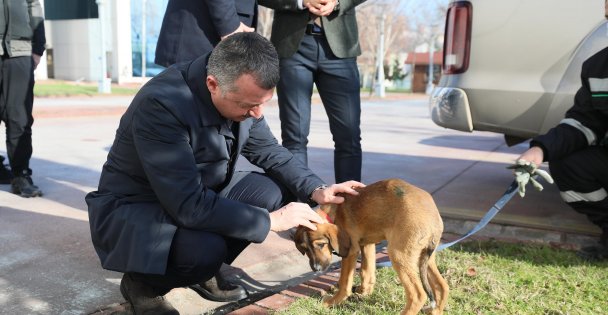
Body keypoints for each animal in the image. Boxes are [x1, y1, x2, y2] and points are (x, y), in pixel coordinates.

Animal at [294, 179, 446, 314]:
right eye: (305, 249)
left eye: (321, 244)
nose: (316, 269)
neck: (334, 211)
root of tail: (434, 218)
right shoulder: (367, 244)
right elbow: (366, 271)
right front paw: (364, 291)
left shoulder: (351, 251)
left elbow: (344, 282)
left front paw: (333, 301)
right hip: (424, 256)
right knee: (442, 285)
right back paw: (434, 311)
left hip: (399, 255)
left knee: (418, 295)